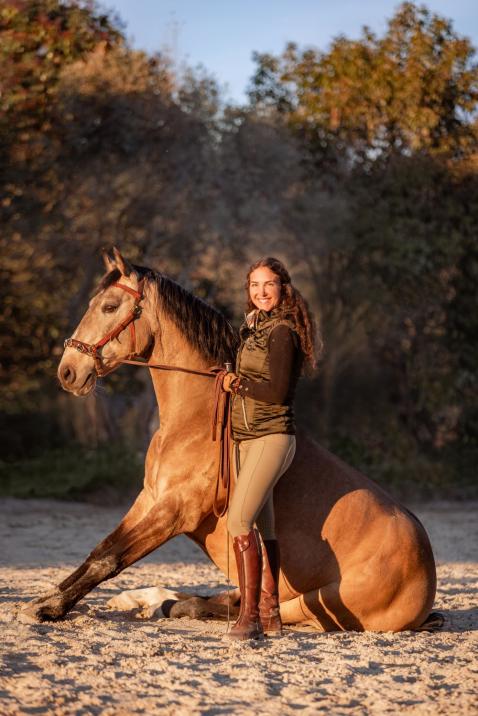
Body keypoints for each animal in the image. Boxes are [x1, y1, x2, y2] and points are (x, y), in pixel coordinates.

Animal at [21, 248, 440, 632]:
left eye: (109, 306)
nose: (68, 372)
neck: (192, 419)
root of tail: (427, 572)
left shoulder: (174, 510)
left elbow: (110, 559)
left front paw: (48, 607)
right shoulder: (150, 498)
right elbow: (101, 548)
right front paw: (44, 599)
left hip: (315, 603)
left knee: (252, 604)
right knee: (228, 596)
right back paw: (152, 600)